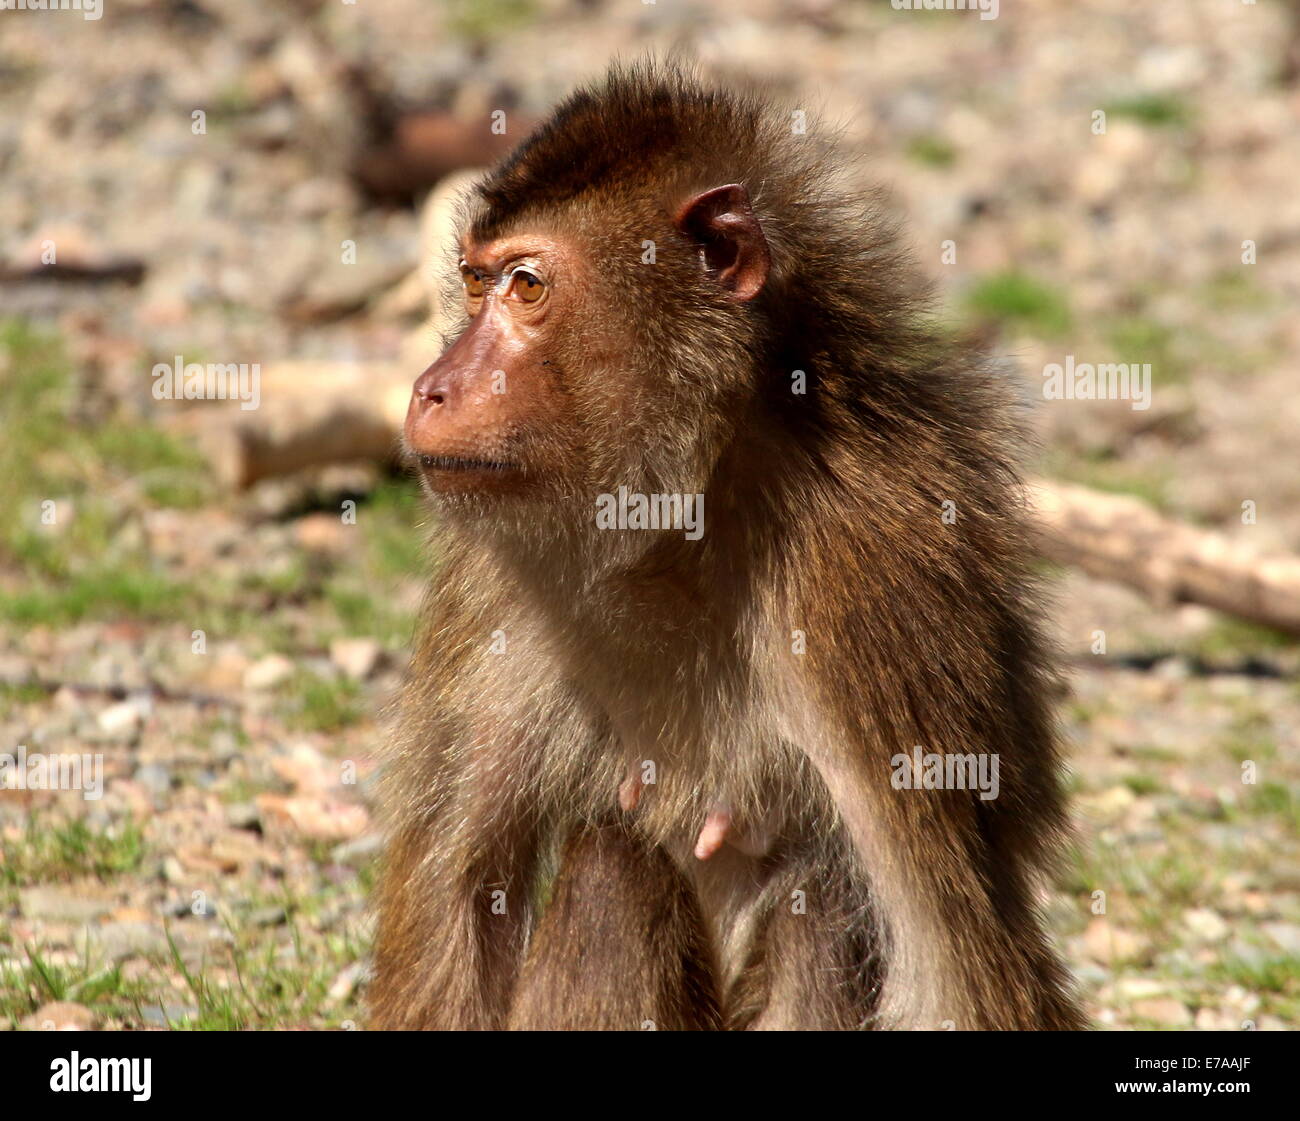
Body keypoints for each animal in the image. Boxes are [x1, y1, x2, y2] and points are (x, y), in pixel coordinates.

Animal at [369, 59, 1086, 1024]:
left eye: (527, 286)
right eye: (475, 284)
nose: (432, 385)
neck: (681, 508)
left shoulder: (866, 583)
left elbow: (950, 959)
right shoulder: (497, 570)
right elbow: (460, 887)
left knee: (820, 904)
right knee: (615, 867)